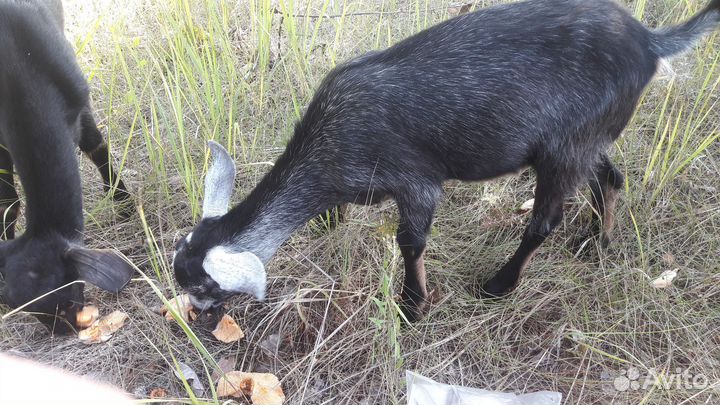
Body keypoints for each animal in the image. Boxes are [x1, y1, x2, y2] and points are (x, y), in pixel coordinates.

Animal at [0, 0, 134, 332]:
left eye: (68, 293)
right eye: (19, 304)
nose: (63, 331)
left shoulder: (78, 101)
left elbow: (95, 147)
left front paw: (124, 203)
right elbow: (8, 201)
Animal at [173, 0, 720, 322]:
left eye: (203, 285)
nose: (194, 315)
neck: (331, 146)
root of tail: (650, 41)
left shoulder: (416, 181)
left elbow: (410, 242)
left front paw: (412, 306)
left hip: (566, 147)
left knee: (544, 220)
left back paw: (499, 285)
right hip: (589, 139)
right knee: (611, 177)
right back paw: (598, 242)